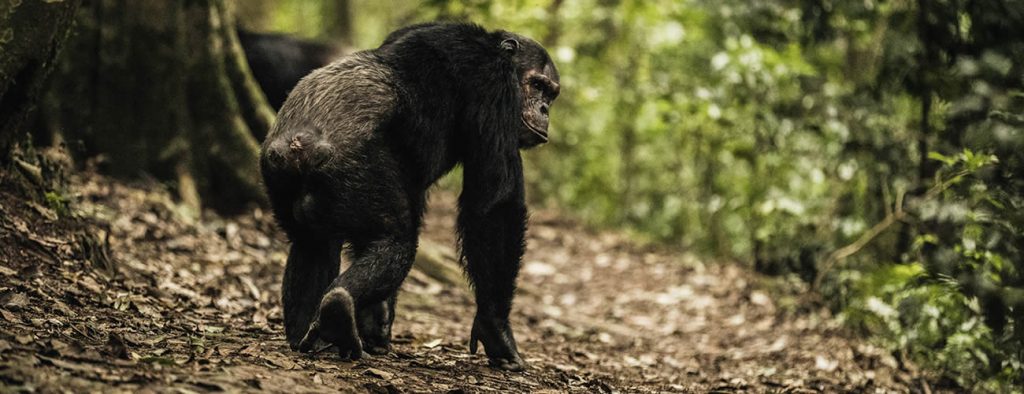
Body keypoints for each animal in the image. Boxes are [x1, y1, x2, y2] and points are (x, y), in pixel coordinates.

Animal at [258, 22, 561, 372]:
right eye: (537, 85)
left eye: (551, 93)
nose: (544, 109)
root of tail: (298, 143)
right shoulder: (494, 88)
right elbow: (494, 204)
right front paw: (496, 329)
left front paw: (377, 321)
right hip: (356, 170)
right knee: (396, 241)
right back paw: (338, 308)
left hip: (278, 177)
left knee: (312, 245)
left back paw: (311, 336)